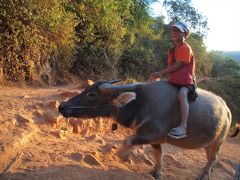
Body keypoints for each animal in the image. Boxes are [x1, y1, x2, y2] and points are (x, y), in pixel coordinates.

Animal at [57, 80, 232, 180]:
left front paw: (123, 156)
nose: (62, 106)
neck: (141, 103)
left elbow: (128, 140)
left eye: (92, 94)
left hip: (218, 141)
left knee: (213, 158)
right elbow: (157, 153)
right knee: (211, 157)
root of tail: (227, 110)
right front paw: (156, 172)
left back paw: (203, 175)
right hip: (209, 143)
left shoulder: (153, 134)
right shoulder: (154, 138)